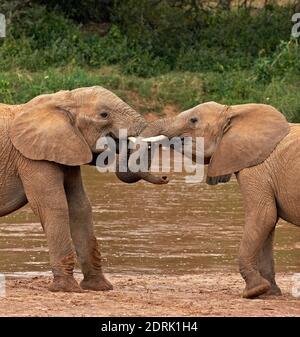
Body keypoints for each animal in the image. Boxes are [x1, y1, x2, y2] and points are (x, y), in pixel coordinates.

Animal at [0, 86, 168, 292]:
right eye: (104, 115)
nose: (165, 176)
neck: (61, 101)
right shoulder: (31, 157)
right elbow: (54, 206)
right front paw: (66, 289)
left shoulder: (68, 148)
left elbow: (80, 208)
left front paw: (99, 287)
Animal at [139, 101, 298, 298]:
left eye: (193, 120)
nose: (164, 177)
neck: (234, 111)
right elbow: (269, 223)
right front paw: (269, 293)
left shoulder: (256, 169)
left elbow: (263, 215)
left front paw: (254, 291)